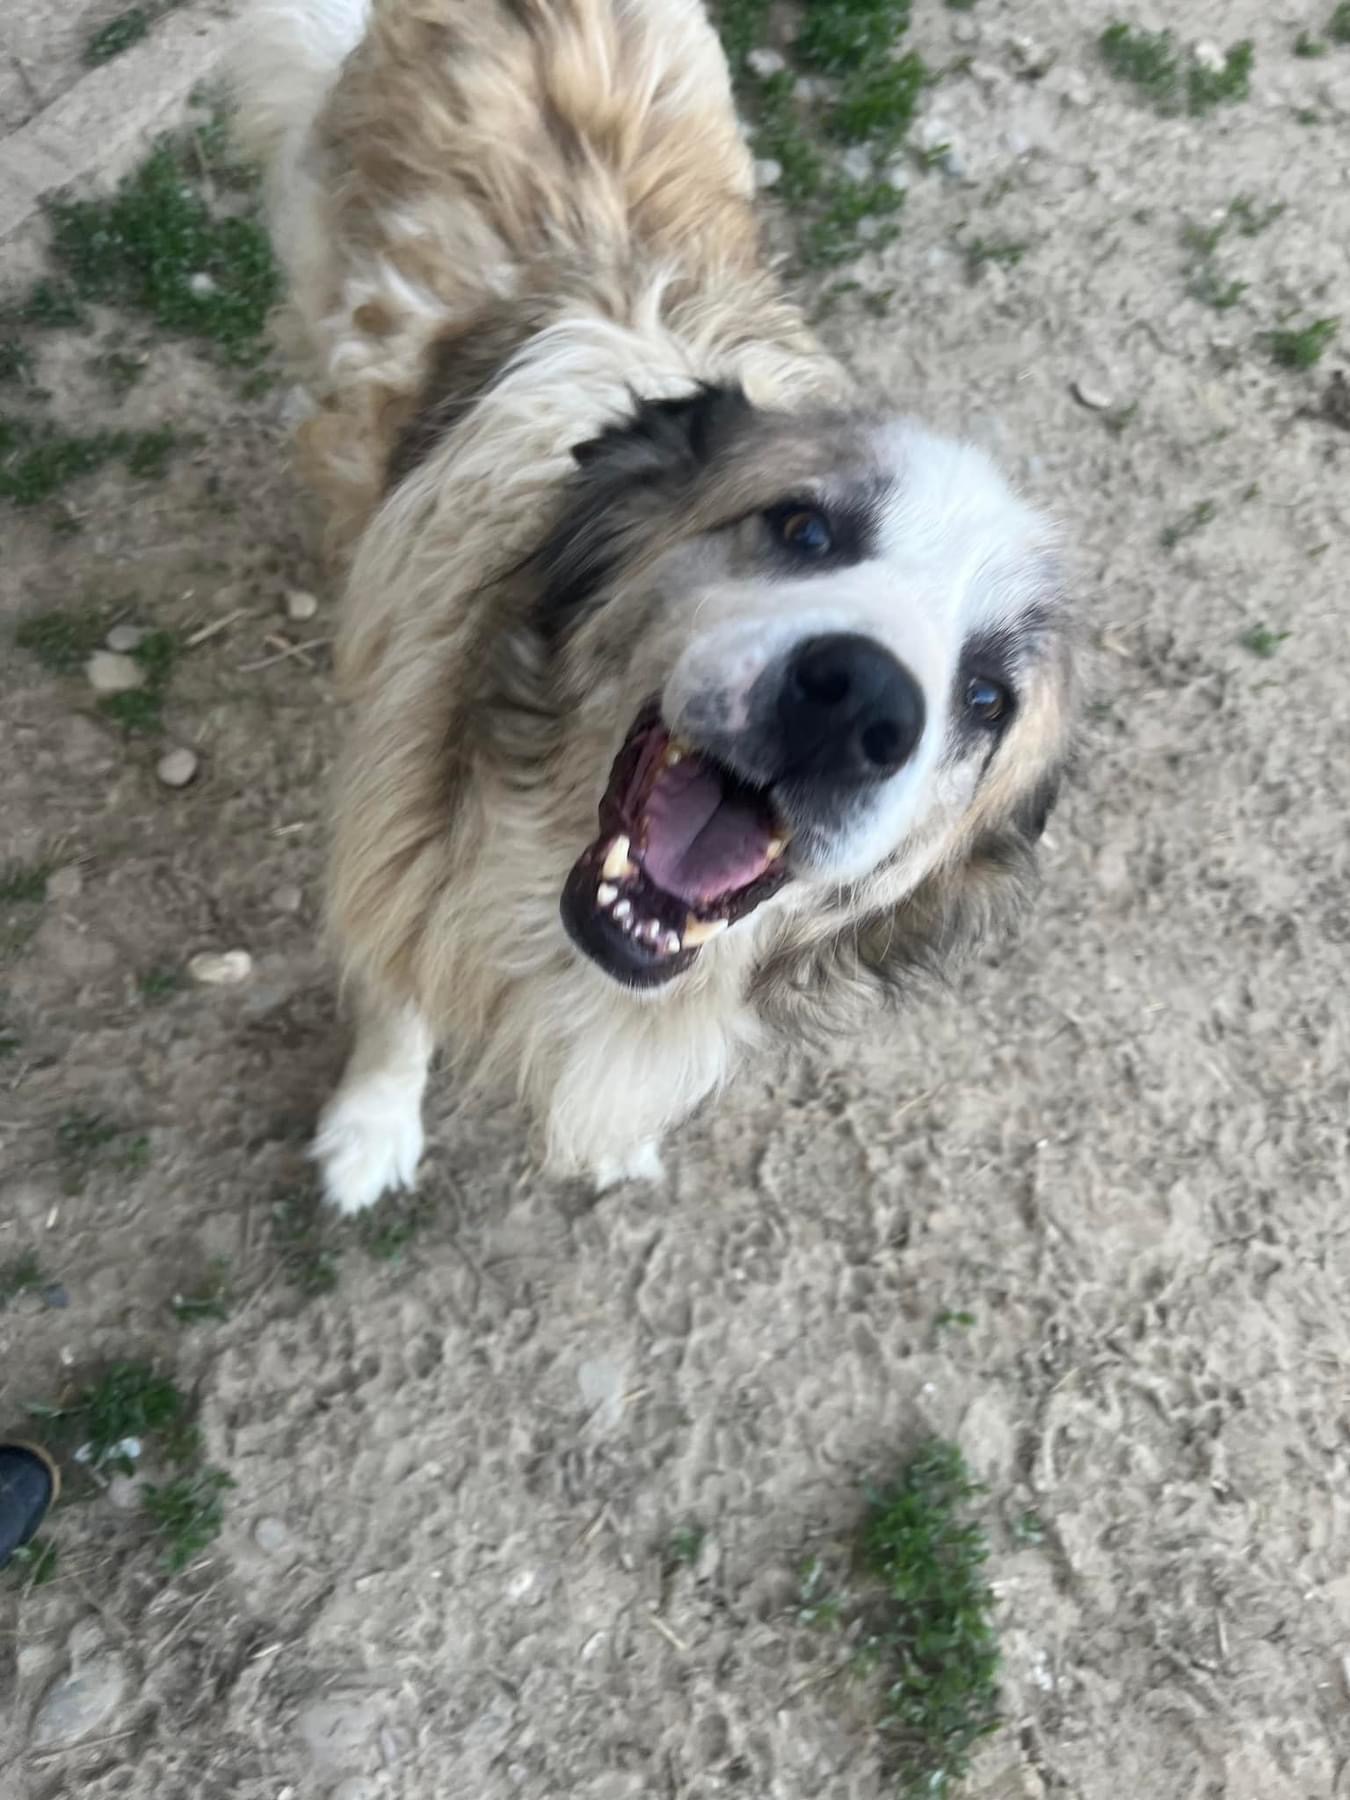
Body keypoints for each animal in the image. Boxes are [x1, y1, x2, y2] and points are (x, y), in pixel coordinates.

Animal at [232, 0, 1076, 1212]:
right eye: (803, 529)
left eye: (987, 697)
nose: (858, 705)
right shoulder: (395, 837)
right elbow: (397, 999)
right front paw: (371, 1126)